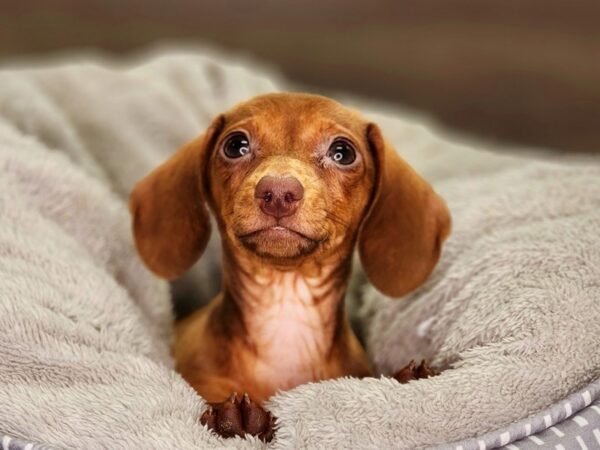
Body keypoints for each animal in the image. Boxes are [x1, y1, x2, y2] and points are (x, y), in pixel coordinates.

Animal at [130, 93, 450, 442]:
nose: (279, 192)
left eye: (343, 152)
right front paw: (234, 419)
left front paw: (408, 380)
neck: (285, 311)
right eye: (235, 145)